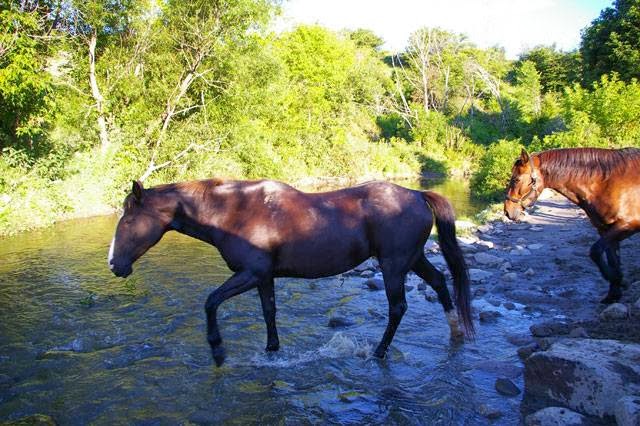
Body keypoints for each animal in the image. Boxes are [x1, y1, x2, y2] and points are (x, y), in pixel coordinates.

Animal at [107, 178, 472, 364]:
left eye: (129, 221)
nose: (114, 264)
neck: (234, 212)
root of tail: (417, 194)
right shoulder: (264, 278)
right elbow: (269, 312)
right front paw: (272, 350)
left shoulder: (251, 274)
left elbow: (211, 301)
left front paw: (217, 348)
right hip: (413, 259)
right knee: (440, 283)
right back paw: (455, 332)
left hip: (394, 265)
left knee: (398, 307)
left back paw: (379, 352)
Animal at [504, 148, 640, 304]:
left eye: (516, 179)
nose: (507, 211)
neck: (607, 183)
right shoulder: (605, 229)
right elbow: (612, 260)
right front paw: (614, 293)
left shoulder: (627, 225)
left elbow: (595, 251)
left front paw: (621, 282)